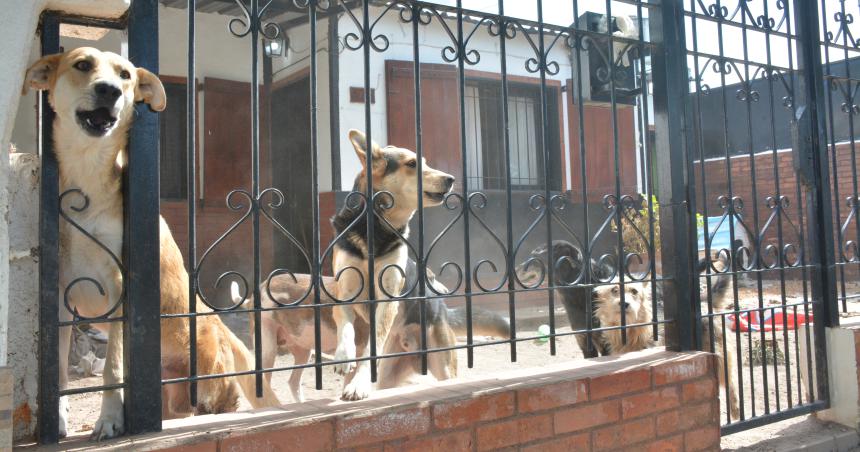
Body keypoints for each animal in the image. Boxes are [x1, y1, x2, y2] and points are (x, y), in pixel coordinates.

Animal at [23, 48, 278, 438]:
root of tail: (220, 325)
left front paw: (109, 419)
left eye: (125, 75)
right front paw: (61, 419)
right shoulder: (62, 293)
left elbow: (113, 368)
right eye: (82, 64)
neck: (88, 175)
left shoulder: (121, 288)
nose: (110, 90)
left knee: (201, 408)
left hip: (200, 371)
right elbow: (60, 371)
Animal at [328, 129, 454, 400]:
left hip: (444, 364)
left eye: (426, 163)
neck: (376, 230)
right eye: (412, 164)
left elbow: (370, 350)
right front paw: (344, 355)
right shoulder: (345, 291)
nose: (451, 179)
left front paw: (359, 384)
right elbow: (345, 328)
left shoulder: (387, 298)